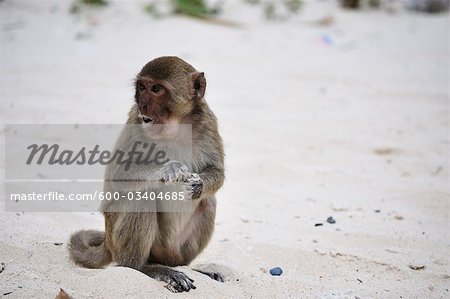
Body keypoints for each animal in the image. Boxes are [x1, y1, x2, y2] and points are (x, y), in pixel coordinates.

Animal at [68, 56, 225, 292]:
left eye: (156, 89)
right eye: (141, 87)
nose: (142, 104)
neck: (175, 126)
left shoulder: (208, 123)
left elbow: (218, 172)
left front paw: (197, 185)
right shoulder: (135, 120)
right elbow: (118, 175)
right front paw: (168, 168)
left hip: (174, 249)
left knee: (208, 202)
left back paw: (185, 266)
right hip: (121, 239)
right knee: (141, 196)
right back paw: (145, 267)